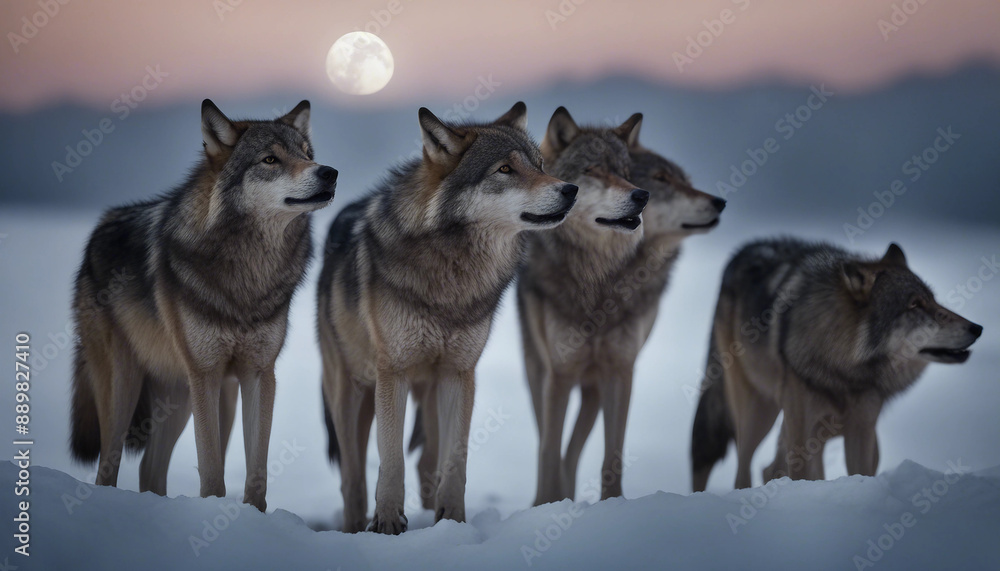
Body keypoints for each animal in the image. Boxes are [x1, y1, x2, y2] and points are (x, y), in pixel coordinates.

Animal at [70, 100, 335, 511]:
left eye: (307, 155)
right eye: (270, 159)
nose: (329, 172)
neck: (248, 275)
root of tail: (98, 230)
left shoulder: (259, 374)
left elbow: (256, 472)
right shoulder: (206, 374)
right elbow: (211, 471)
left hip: (184, 397)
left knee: (149, 469)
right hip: (126, 389)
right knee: (107, 468)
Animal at [318, 102, 578, 534]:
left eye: (541, 166)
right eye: (505, 169)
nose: (571, 189)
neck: (452, 274)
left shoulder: (459, 373)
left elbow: (455, 462)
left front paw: (452, 521)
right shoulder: (393, 374)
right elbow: (390, 460)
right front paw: (388, 523)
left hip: (428, 394)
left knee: (427, 462)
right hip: (350, 393)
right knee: (352, 477)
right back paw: (355, 526)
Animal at [517, 108, 726, 505]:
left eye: (626, 173)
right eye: (593, 170)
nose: (642, 195)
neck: (601, 280)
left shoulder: (620, 370)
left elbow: (611, 456)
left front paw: (610, 504)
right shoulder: (559, 373)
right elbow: (549, 449)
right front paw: (546, 505)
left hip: (593, 387)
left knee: (573, 449)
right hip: (538, 372)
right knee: (548, 443)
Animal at [691, 239, 984, 491]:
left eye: (934, 300)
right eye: (914, 304)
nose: (977, 328)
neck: (843, 366)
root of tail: (740, 252)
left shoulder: (862, 429)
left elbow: (859, 472)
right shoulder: (802, 430)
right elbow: (800, 475)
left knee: (770, 468)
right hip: (759, 412)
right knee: (744, 470)